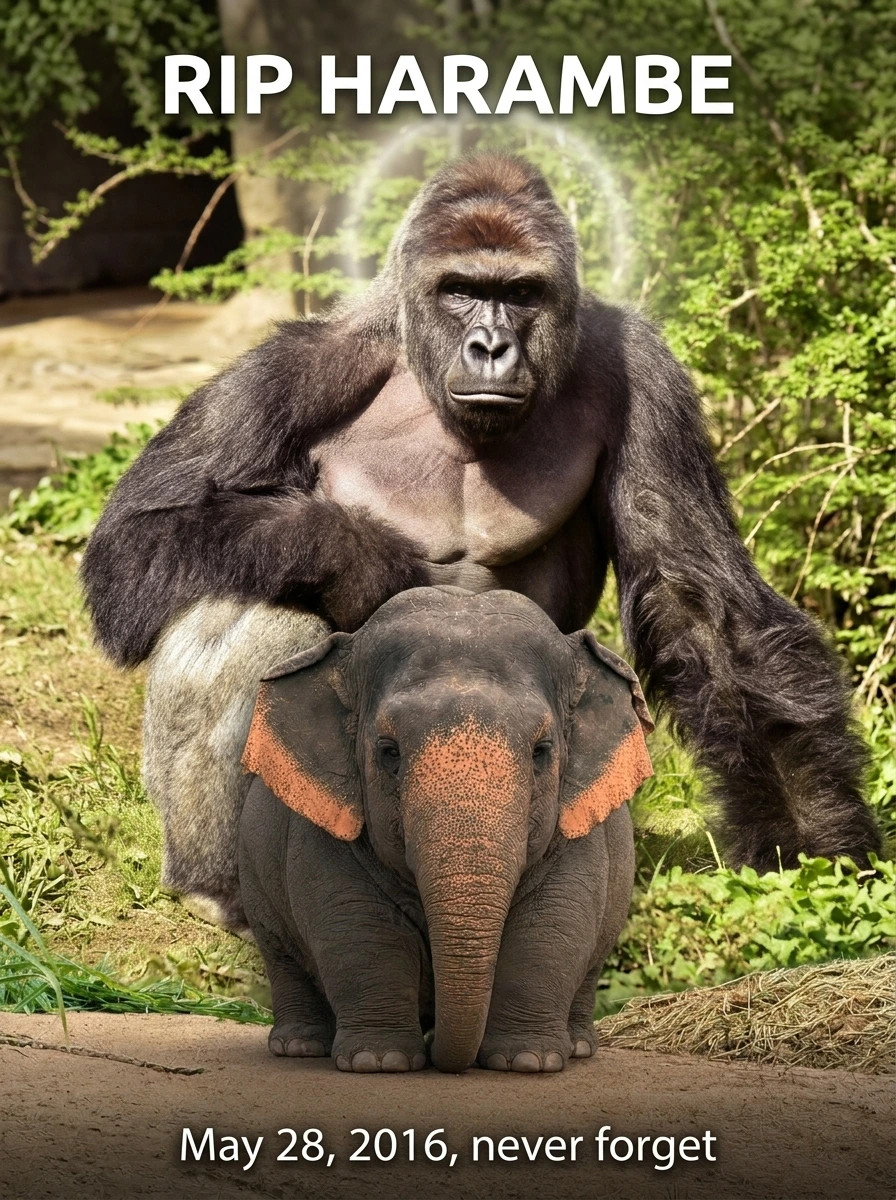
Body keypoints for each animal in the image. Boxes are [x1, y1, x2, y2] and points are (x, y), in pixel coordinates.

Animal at [238, 587, 653, 1074]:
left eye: (542, 751)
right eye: (389, 751)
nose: (445, 1055)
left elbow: (551, 924)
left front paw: (527, 1061)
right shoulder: (325, 828)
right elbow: (358, 925)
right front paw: (380, 1061)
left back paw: (581, 1047)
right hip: (256, 882)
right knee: (282, 955)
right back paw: (299, 1047)